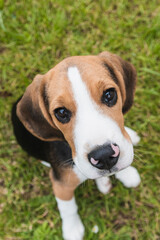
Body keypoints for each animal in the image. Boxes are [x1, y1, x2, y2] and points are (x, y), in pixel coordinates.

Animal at [11, 51, 141, 240]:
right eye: (61, 112)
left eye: (109, 95)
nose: (104, 156)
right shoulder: (61, 184)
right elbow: (68, 208)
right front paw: (72, 230)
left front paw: (127, 173)